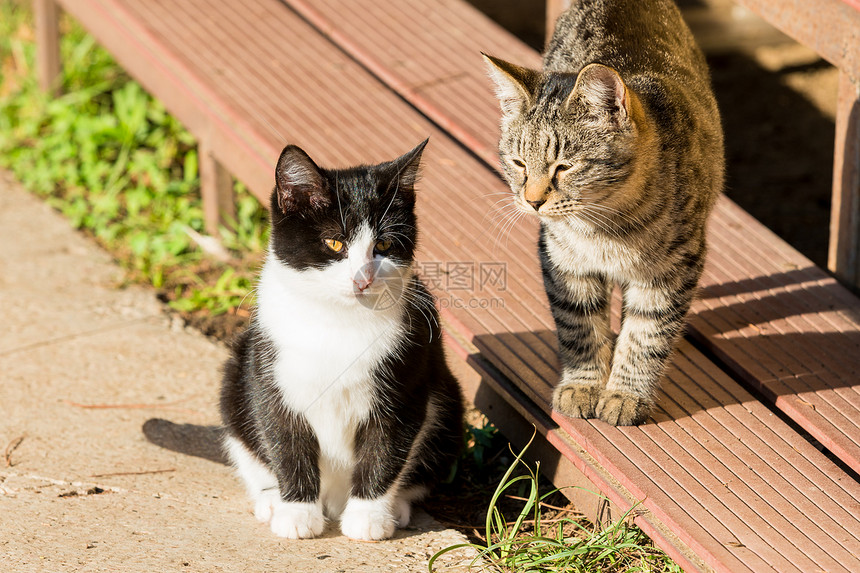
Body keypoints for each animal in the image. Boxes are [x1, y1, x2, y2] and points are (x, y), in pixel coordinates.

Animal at [220, 141, 464, 540]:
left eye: (384, 244)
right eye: (335, 242)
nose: (362, 279)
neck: (338, 319)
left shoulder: (406, 380)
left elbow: (386, 448)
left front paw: (368, 516)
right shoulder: (270, 373)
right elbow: (284, 438)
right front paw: (297, 512)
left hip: (449, 401)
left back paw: (397, 506)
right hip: (235, 378)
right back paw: (271, 499)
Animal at [484, 0, 724, 424]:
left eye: (564, 166)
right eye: (518, 163)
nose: (532, 200)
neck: (604, 227)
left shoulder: (673, 268)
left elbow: (647, 334)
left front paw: (626, 394)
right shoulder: (563, 261)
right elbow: (578, 326)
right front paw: (584, 386)